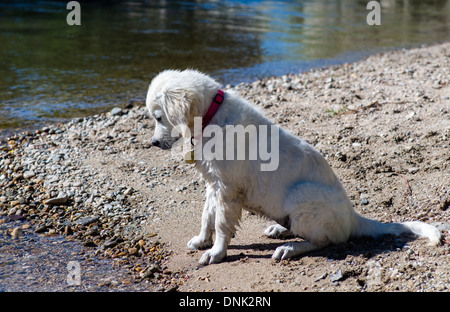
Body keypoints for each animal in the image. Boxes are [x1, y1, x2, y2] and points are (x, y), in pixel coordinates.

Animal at [146, 69, 442, 266]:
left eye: (159, 117)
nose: (153, 143)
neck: (210, 117)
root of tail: (352, 217)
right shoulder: (214, 183)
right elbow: (207, 215)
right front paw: (201, 240)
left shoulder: (228, 189)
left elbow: (221, 223)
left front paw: (216, 253)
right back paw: (280, 231)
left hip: (301, 195)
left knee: (325, 240)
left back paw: (289, 248)